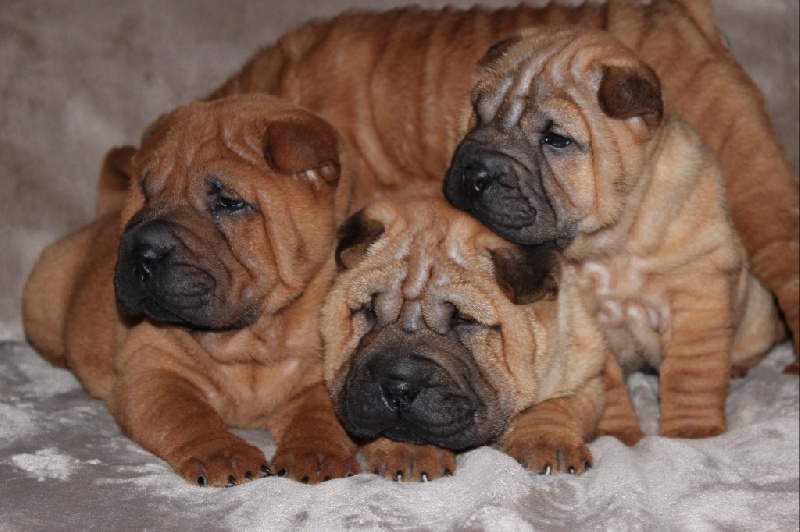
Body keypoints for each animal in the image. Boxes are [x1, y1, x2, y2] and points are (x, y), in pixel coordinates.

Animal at [22, 94, 360, 486]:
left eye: (229, 201)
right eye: (145, 191)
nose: (142, 250)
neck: (251, 340)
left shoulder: (322, 377)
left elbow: (320, 416)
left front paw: (317, 455)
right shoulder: (154, 369)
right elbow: (187, 414)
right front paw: (224, 455)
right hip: (44, 290)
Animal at [321, 186, 630, 479]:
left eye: (464, 320)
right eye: (369, 310)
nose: (398, 386)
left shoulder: (584, 375)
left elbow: (555, 407)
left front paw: (550, 443)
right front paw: (410, 454)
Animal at [443, 27, 783, 439]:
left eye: (556, 139)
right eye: (477, 115)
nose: (473, 174)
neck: (614, 241)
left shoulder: (696, 297)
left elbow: (691, 375)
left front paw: (692, 432)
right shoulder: (587, 319)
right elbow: (610, 386)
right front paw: (619, 436)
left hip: (758, 311)